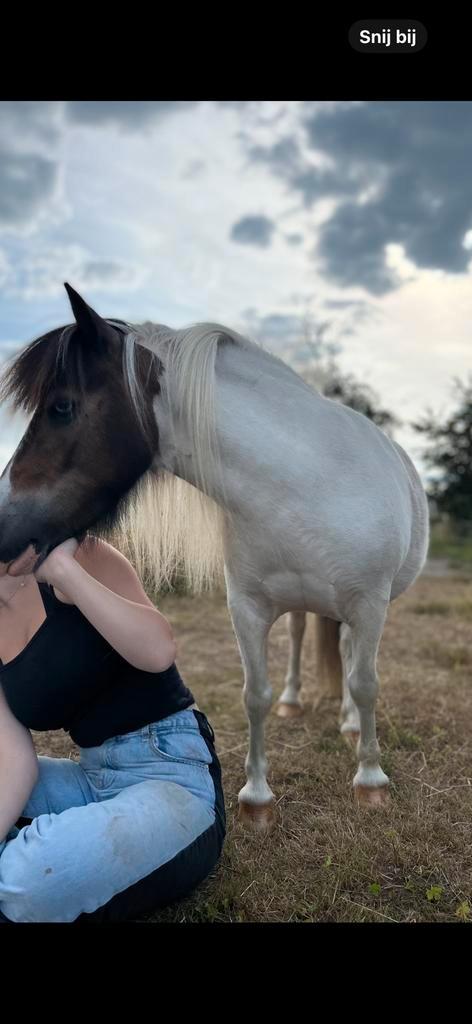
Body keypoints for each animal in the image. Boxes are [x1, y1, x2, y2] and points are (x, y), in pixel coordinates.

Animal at [0, 283, 429, 830]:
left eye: (61, 407)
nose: (1, 526)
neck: (308, 485)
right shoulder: (246, 608)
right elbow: (255, 694)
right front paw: (257, 798)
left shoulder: (370, 604)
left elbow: (367, 683)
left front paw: (371, 781)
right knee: (301, 640)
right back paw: (297, 703)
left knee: (353, 658)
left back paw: (353, 728)